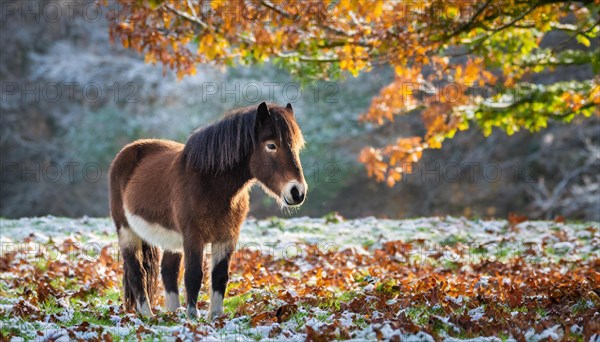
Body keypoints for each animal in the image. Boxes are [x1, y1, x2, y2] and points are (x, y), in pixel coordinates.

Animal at [108, 102, 308, 320]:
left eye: (296, 147)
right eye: (271, 145)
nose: (297, 192)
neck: (210, 183)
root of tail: (128, 151)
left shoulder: (227, 237)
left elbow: (219, 276)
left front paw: (216, 316)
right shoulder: (193, 237)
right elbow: (194, 275)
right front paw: (192, 317)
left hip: (171, 239)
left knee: (168, 271)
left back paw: (173, 312)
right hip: (126, 230)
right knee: (137, 272)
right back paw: (147, 314)